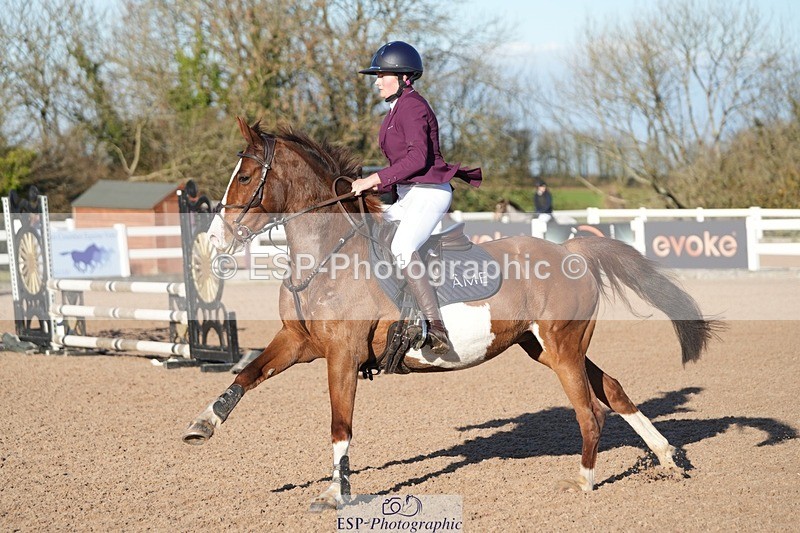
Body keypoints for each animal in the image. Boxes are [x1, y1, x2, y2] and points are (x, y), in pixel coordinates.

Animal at [183, 117, 718, 511]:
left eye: (245, 177)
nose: (215, 239)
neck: (327, 255)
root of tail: (574, 249)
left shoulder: (342, 355)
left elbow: (340, 424)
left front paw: (337, 493)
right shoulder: (298, 342)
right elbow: (247, 374)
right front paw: (203, 424)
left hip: (562, 348)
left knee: (591, 412)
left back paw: (584, 482)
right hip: (546, 347)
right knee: (614, 392)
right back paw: (667, 457)